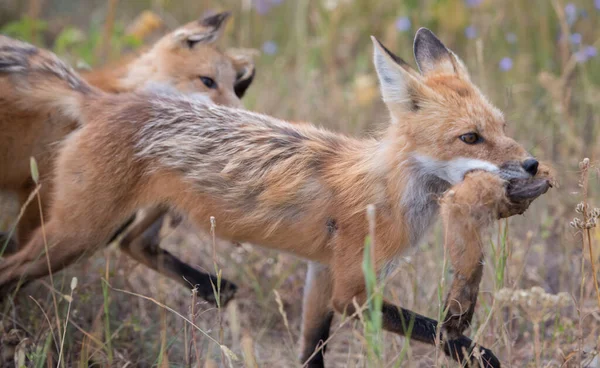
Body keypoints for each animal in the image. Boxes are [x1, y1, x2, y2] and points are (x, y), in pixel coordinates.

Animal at [0, 26, 552, 368]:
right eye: (470, 138)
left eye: (503, 127)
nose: (531, 166)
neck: (387, 189)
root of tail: (108, 99)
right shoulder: (352, 291)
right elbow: (431, 328)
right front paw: (474, 352)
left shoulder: (321, 274)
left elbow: (311, 352)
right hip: (76, 234)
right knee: (13, 268)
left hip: (149, 213)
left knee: (133, 243)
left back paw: (208, 286)